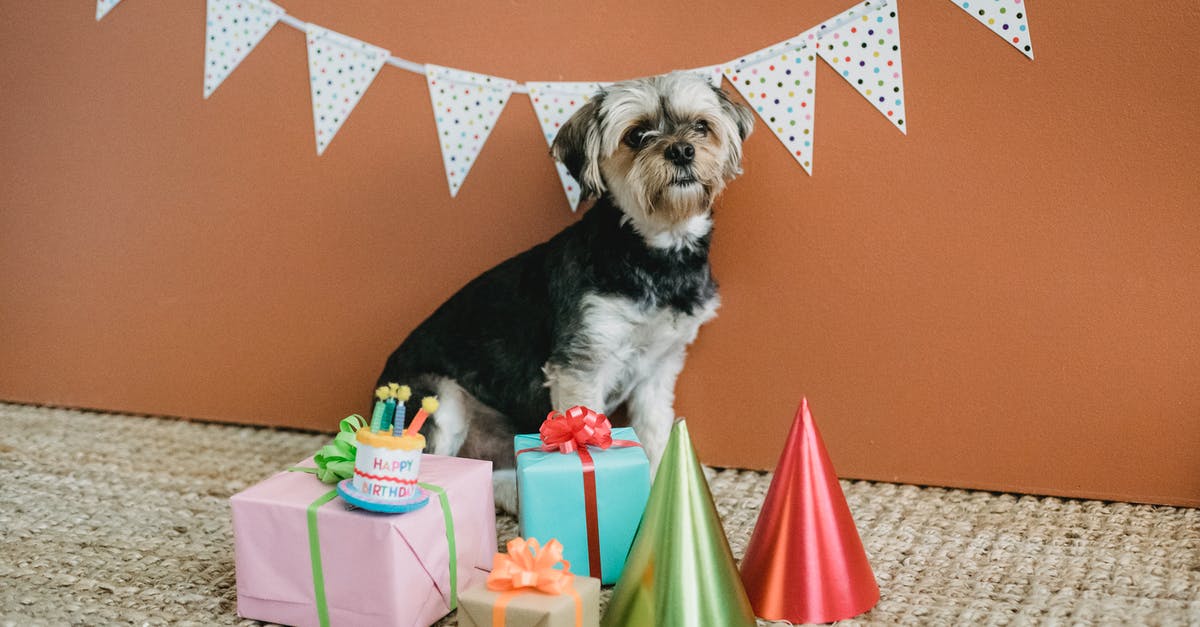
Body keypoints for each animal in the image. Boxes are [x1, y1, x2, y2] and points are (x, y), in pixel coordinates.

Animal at [376, 70, 748, 506]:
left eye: (702, 127)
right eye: (637, 135)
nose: (682, 151)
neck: (654, 253)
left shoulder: (658, 368)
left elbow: (655, 432)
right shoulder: (581, 364)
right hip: (439, 398)